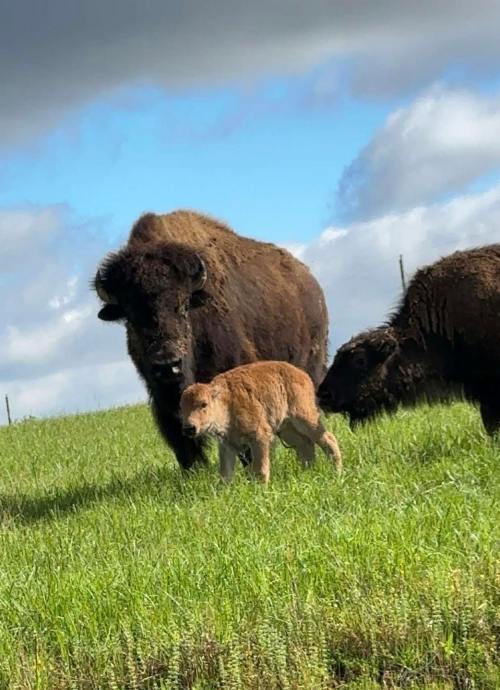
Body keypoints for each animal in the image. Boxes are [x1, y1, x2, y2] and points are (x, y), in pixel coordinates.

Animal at [93, 210, 329, 468]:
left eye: (183, 306)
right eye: (131, 316)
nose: (167, 365)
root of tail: (311, 282)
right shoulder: (161, 398)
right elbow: (182, 441)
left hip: (310, 367)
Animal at [180, 361, 342, 484]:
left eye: (204, 404)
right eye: (182, 407)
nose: (189, 428)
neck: (226, 402)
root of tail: (302, 375)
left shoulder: (259, 437)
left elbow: (260, 468)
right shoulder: (227, 445)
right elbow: (226, 473)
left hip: (305, 418)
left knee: (328, 439)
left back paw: (337, 472)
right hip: (286, 429)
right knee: (305, 444)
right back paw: (308, 472)